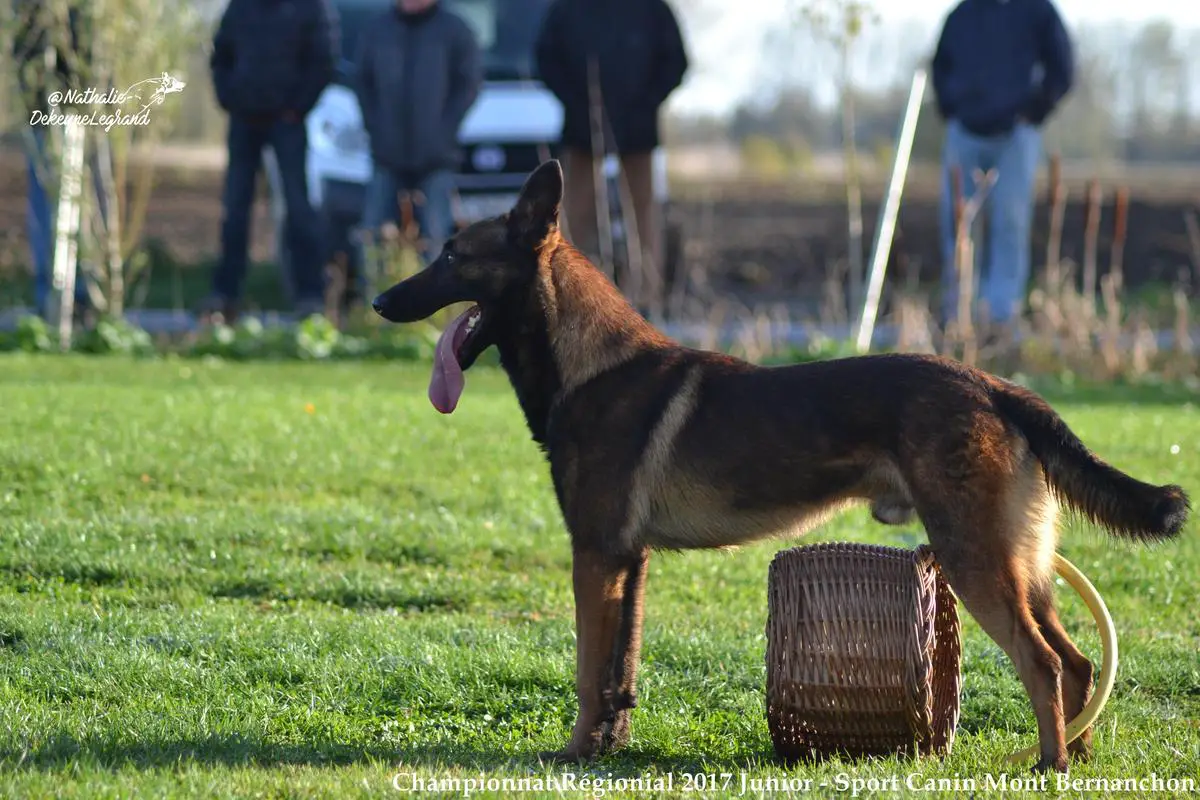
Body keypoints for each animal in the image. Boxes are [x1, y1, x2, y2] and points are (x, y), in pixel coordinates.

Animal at [374, 158, 1190, 777]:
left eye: (452, 254)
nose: (381, 299)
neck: (590, 365)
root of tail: (994, 386)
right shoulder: (628, 563)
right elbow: (618, 674)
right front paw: (607, 748)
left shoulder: (595, 556)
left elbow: (585, 668)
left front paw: (573, 754)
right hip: (1020, 563)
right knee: (1077, 664)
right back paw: (1077, 759)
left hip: (974, 559)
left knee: (1043, 664)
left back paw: (1049, 765)